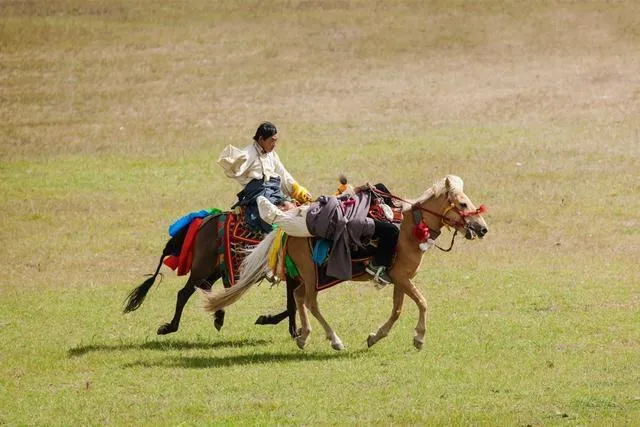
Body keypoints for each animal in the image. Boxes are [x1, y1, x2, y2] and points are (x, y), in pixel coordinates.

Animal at [123, 211, 298, 337]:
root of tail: (204, 221)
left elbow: (292, 305)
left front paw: (273, 321)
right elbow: (292, 305)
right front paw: (286, 328)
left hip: (215, 269)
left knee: (205, 287)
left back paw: (218, 316)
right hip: (202, 267)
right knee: (184, 293)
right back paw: (169, 327)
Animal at [202, 175, 488, 350]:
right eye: (463, 203)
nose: (483, 228)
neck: (409, 230)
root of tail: (286, 230)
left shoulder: (399, 279)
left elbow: (397, 310)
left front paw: (375, 336)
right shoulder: (403, 277)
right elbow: (423, 302)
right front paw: (419, 338)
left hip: (308, 275)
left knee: (298, 297)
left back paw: (303, 336)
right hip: (311, 272)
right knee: (309, 302)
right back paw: (334, 340)